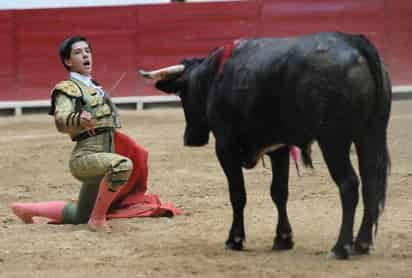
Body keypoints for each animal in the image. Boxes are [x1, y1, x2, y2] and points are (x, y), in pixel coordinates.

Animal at [140, 32, 392, 260]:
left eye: (182, 93)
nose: (189, 139)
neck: (214, 77)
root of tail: (355, 42)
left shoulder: (225, 148)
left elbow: (237, 193)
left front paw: (235, 239)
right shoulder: (278, 149)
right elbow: (279, 191)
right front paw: (283, 239)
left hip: (334, 140)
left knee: (349, 184)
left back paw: (341, 247)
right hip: (371, 133)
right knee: (371, 183)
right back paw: (362, 243)